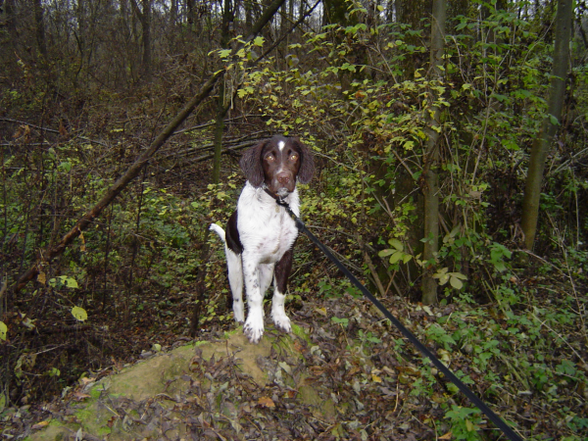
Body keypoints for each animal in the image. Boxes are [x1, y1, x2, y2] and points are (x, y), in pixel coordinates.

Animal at [209, 136, 314, 342]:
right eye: (269, 157)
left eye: (294, 156)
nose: (283, 178)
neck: (277, 205)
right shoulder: (249, 258)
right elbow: (254, 295)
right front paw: (254, 325)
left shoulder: (286, 256)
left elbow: (279, 292)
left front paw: (279, 318)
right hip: (234, 268)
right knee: (237, 300)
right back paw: (241, 321)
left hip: (266, 270)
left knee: (263, 290)